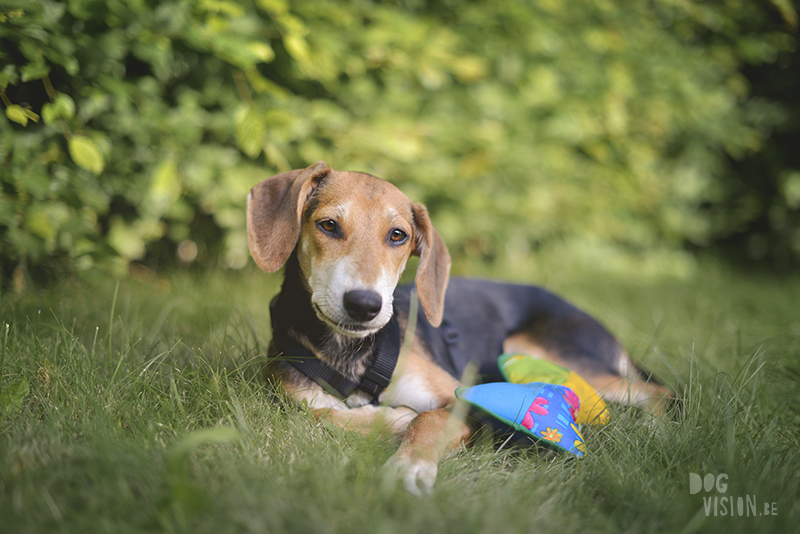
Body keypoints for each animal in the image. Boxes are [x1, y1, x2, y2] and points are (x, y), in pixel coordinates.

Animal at [247, 161, 672, 496]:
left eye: (397, 235)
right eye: (329, 225)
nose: (365, 305)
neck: (351, 353)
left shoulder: (458, 401)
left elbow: (426, 421)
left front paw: (408, 465)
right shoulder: (290, 393)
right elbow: (321, 414)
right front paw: (386, 419)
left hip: (537, 350)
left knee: (659, 392)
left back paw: (656, 431)